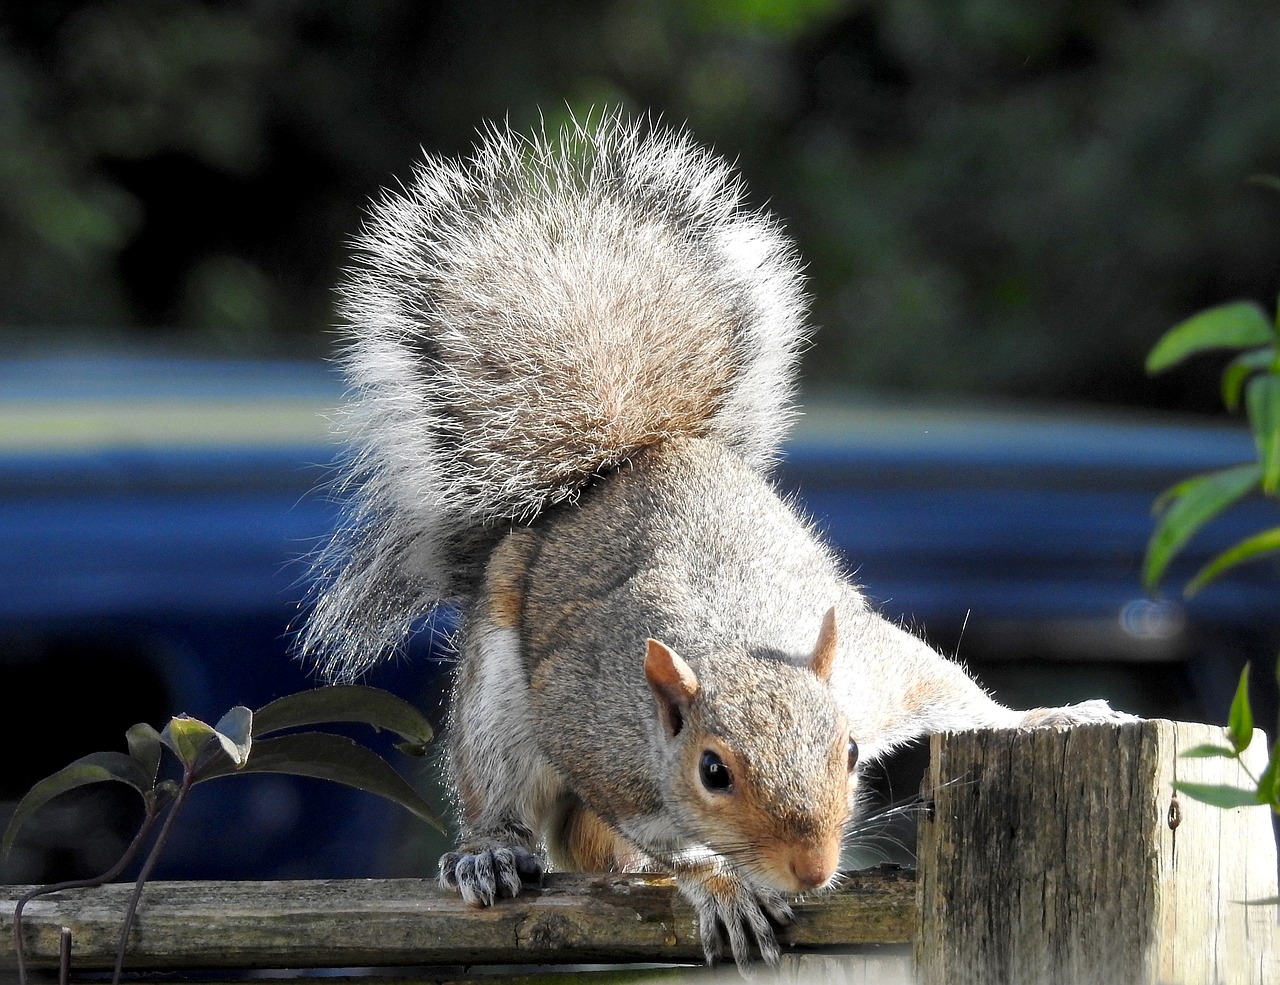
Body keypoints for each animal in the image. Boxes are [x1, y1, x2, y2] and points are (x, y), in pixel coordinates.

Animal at [302, 111, 1131, 972]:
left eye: (851, 751)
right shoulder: (597, 739)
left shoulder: (870, 670)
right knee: (508, 789)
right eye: (712, 770)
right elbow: (672, 845)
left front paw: (1050, 716)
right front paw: (723, 884)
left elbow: (953, 691)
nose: (814, 868)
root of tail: (630, 457)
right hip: (499, 694)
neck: (731, 638)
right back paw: (489, 848)